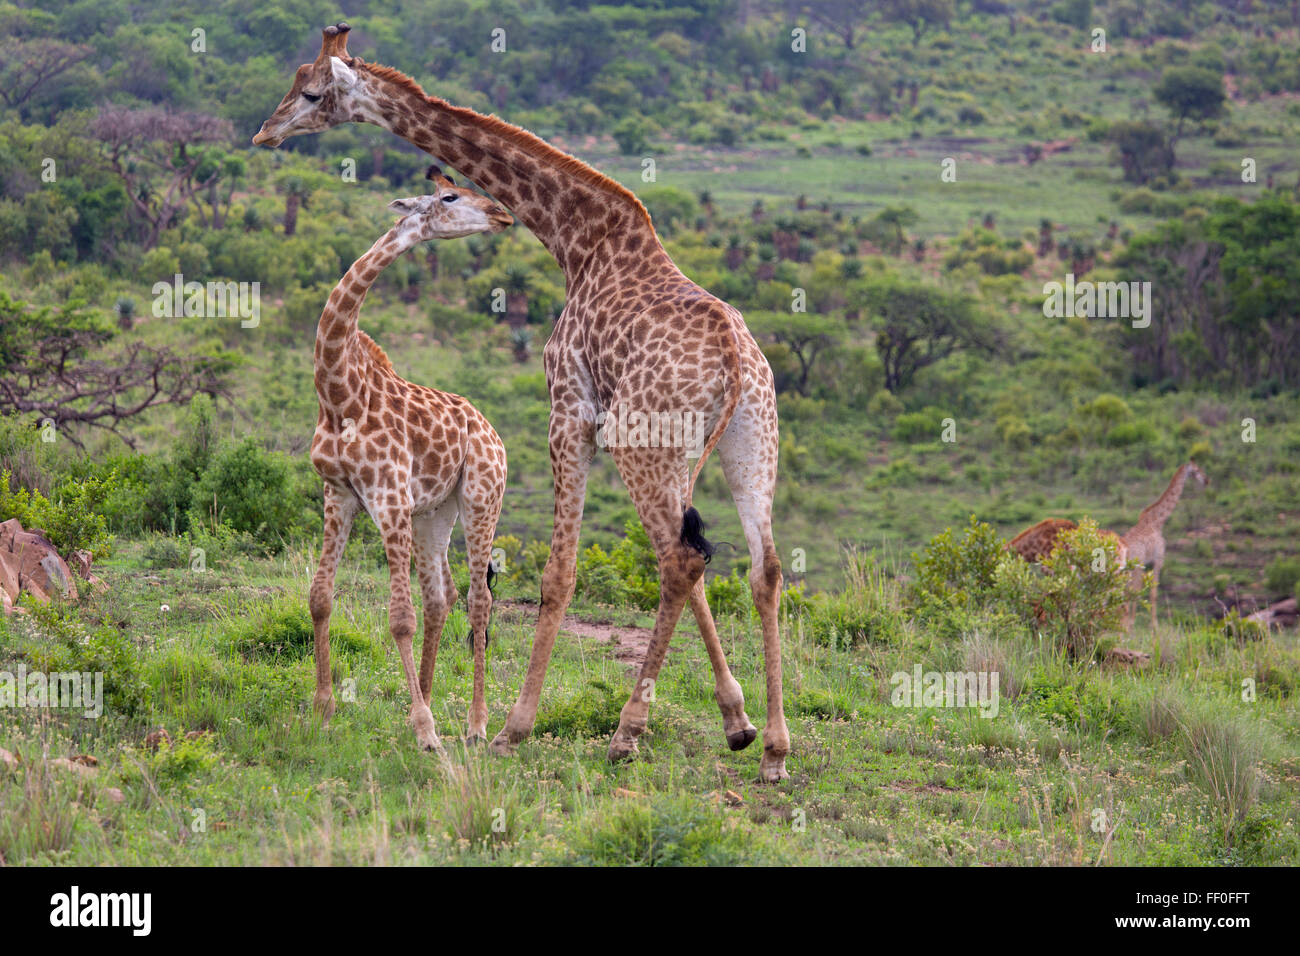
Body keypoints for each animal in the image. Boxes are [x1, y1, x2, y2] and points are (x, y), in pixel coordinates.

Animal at [308, 167, 512, 752]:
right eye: (450, 195)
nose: (503, 214)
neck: (339, 395)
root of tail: (493, 432)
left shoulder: (388, 496)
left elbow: (398, 617)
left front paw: (426, 731)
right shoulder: (339, 494)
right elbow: (321, 597)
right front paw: (323, 710)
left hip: (481, 497)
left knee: (478, 601)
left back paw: (474, 724)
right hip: (433, 513)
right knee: (441, 597)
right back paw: (424, 702)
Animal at [1120, 461, 1209, 631]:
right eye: (1197, 470)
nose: (1207, 481)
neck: (1158, 522)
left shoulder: (1147, 563)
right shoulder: (1158, 559)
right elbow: (1153, 592)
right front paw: (1153, 625)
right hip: (1133, 567)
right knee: (1129, 590)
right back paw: (1126, 623)